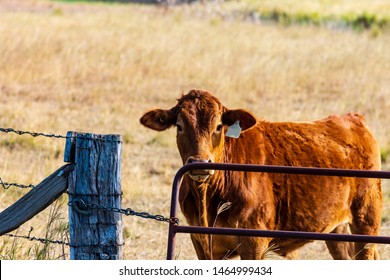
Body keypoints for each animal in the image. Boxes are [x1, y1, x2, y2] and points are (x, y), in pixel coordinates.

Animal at [139, 89, 380, 260]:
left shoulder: (253, 242)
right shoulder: (201, 242)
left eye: (219, 126)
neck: (208, 197)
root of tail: (353, 119)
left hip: (366, 220)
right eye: (179, 126)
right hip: (338, 230)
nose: (199, 163)